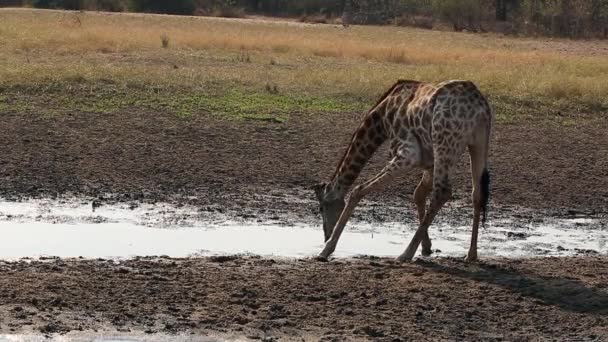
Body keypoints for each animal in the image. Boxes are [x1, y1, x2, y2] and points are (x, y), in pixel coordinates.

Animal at [316, 79, 492, 262]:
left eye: (321, 208)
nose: (325, 236)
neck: (382, 119)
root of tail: (479, 106)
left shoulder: (408, 154)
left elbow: (358, 190)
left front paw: (326, 249)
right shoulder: (430, 160)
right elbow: (418, 194)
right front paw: (426, 247)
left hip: (445, 142)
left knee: (442, 191)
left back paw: (405, 253)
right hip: (477, 143)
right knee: (477, 194)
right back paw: (471, 254)